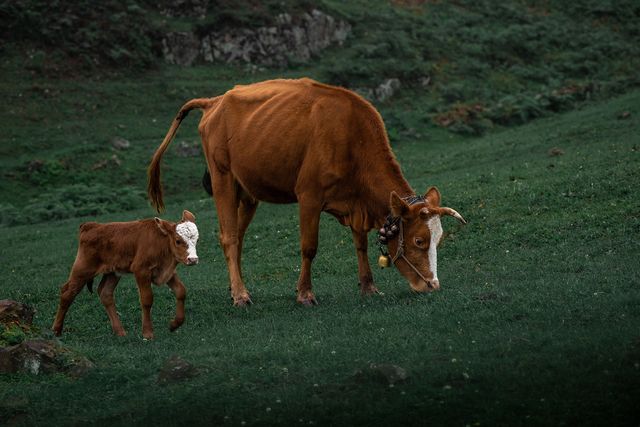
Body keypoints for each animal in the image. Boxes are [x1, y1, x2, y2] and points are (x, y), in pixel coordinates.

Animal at [51, 211, 199, 342]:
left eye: (197, 240)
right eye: (178, 241)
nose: (193, 259)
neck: (161, 242)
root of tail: (91, 226)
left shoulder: (167, 272)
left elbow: (181, 291)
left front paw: (174, 324)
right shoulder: (141, 270)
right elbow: (147, 299)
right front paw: (147, 333)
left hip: (112, 273)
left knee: (105, 293)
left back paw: (120, 331)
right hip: (83, 269)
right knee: (67, 293)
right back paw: (56, 330)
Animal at [148, 78, 462, 308]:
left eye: (439, 238)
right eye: (419, 240)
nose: (432, 285)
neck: (351, 136)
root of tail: (214, 101)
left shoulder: (355, 203)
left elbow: (360, 244)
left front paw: (369, 286)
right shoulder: (309, 196)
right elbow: (309, 247)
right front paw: (305, 294)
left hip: (247, 191)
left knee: (238, 236)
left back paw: (234, 287)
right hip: (222, 177)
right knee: (229, 237)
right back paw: (240, 295)